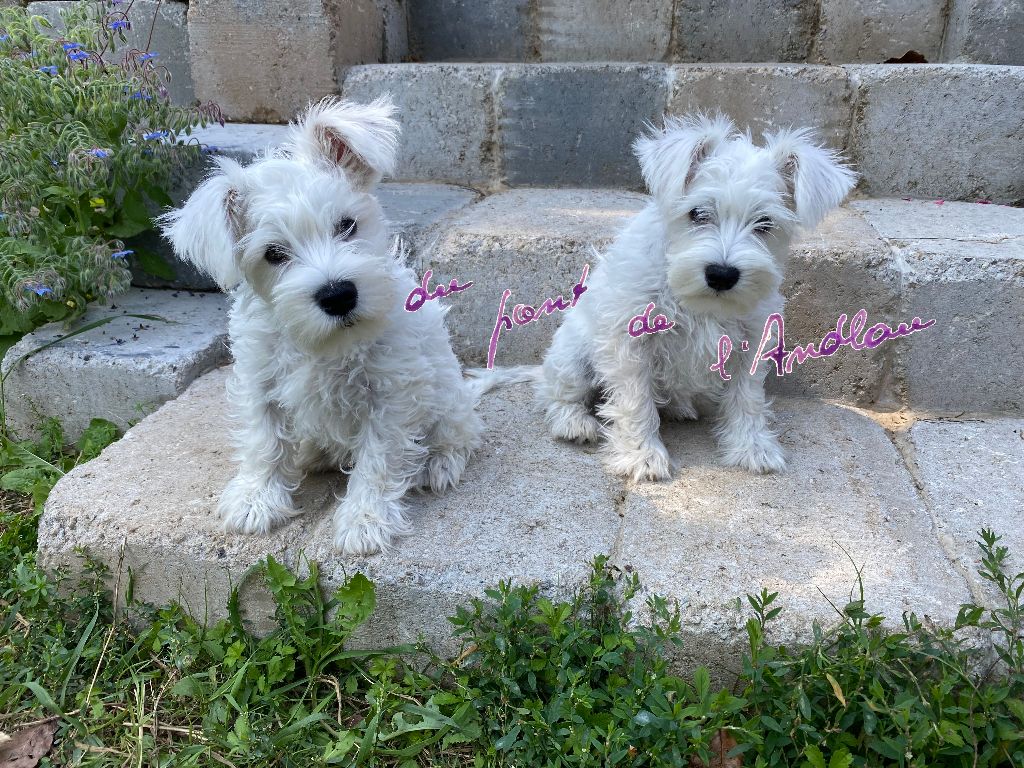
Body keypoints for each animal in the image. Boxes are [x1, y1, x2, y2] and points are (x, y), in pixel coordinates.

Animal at [159, 97, 491, 552]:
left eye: (346, 224)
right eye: (274, 253)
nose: (338, 295)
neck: (326, 345)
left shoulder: (390, 394)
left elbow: (378, 460)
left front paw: (365, 520)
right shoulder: (259, 379)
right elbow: (263, 440)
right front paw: (256, 498)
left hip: (447, 398)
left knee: (458, 432)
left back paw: (437, 463)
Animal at [536, 114, 856, 481]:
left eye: (764, 223)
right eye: (697, 213)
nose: (722, 274)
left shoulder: (750, 339)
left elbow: (747, 397)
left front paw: (752, 447)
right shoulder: (629, 341)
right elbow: (635, 401)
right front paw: (643, 456)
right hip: (573, 359)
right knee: (557, 393)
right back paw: (574, 423)